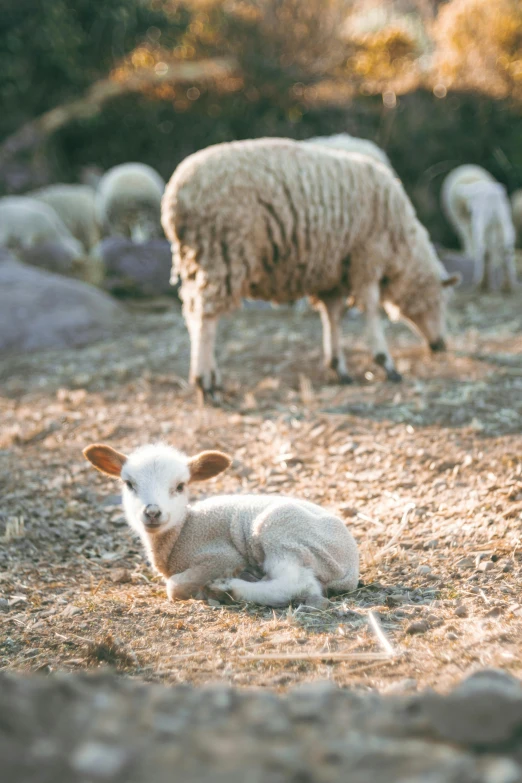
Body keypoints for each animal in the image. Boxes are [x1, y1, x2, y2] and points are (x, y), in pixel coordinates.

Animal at [82, 444, 358, 608]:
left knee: (295, 584)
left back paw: (229, 589)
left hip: (279, 529)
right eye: (129, 484)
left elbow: (175, 586)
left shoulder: (221, 555)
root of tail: (351, 567)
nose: (152, 512)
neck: (183, 530)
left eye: (180, 486)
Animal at [160, 137, 458, 396]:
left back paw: (211, 377)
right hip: (223, 254)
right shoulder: (366, 259)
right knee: (206, 316)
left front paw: (339, 367)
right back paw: (205, 383)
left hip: (197, 261)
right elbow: (372, 311)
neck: (402, 243)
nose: (440, 345)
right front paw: (386, 362)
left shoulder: (334, 273)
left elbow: (333, 316)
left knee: (192, 313)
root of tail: (175, 200)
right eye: (439, 301)